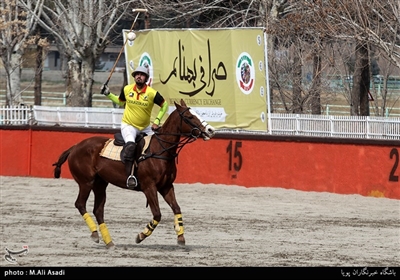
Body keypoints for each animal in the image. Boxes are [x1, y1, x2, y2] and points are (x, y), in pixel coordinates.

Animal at [53, 99, 217, 248]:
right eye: (189, 117)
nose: (210, 130)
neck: (160, 151)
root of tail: (74, 147)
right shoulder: (149, 187)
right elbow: (157, 214)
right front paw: (141, 236)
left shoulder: (166, 186)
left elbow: (176, 208)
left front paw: (181, 237)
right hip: (86, 182)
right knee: (80, 204)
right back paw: (94, 234)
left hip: (100, 184)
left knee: (98, 210)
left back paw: (109, 242)